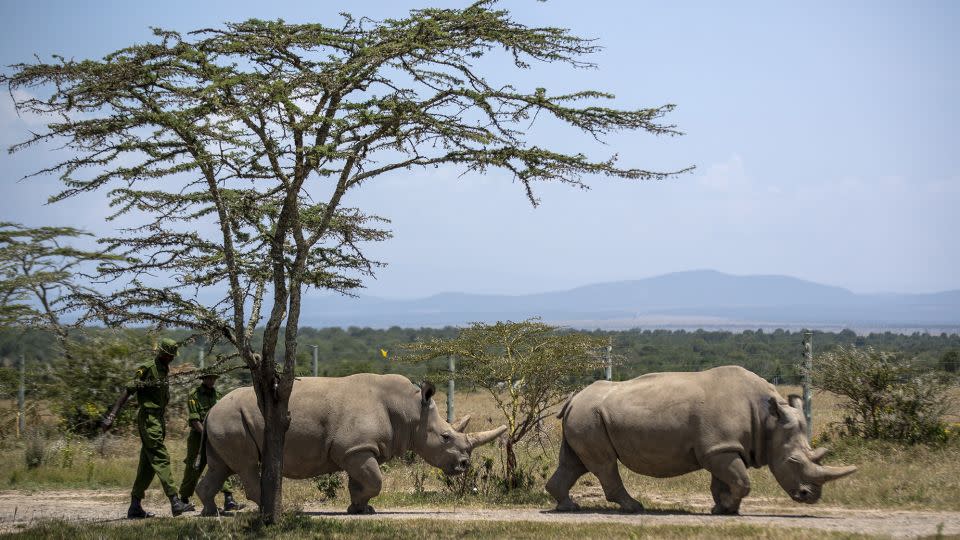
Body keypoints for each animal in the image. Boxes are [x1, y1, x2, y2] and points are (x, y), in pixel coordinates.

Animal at [198, 376, 506, 516]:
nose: (465, 465)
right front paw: (361, 509)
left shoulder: (359, 449)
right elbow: (376, 481)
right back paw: (275, 510)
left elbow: (361, 483)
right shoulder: (355, 448)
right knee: (247, 465)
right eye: (445, 437)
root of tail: (210, 409)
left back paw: (211, 513)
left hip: (224, 420)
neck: (410, 411)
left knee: (219, 467)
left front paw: (359, 510)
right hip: (231, 419)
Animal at [548, 368, 856, 516]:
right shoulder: (720, 448)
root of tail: (574, 398)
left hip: (586, 415)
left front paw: (723, 509)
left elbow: (724, 482)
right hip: (589, 416)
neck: (769, 419)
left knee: (575, 463)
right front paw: (728, 508)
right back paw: (634, 508)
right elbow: (742, 481)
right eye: (793, 462)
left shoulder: (721, 447)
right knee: (604, 464)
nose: (809, 497)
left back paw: (568, 507)